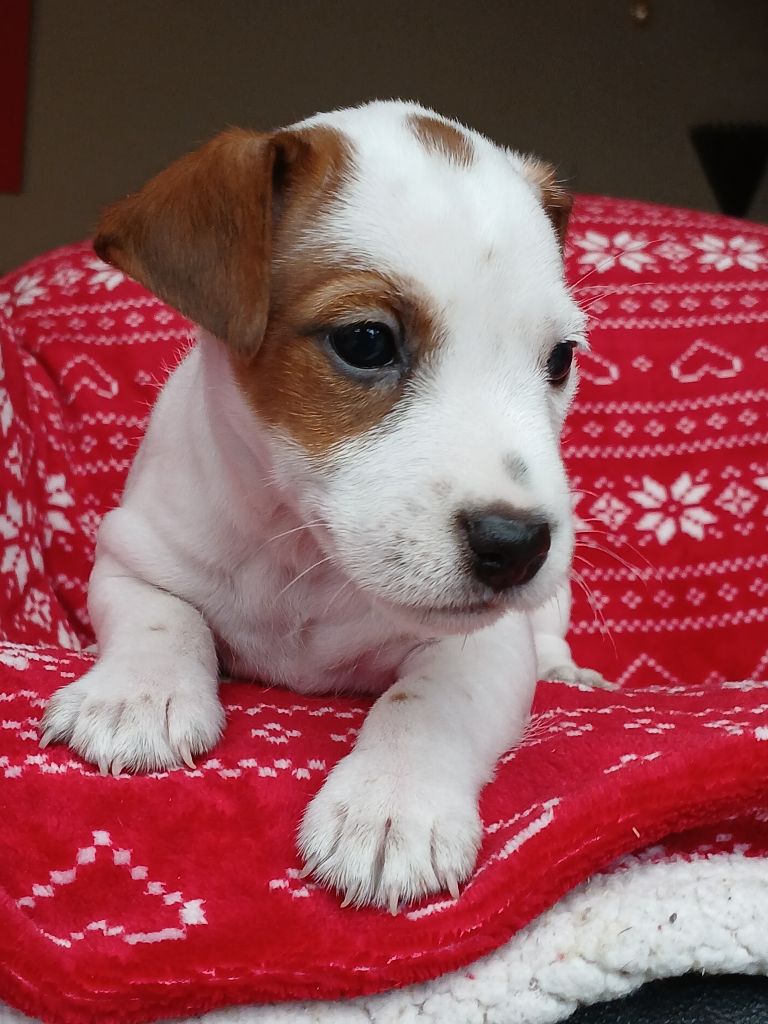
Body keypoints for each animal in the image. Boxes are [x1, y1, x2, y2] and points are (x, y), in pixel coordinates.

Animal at [40, 100, 606, 912]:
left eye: (559, 359)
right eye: (365, 341)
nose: (517, 545)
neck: (300, 550)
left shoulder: (486, 643)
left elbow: (427, 701)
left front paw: (393, 802)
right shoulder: (133, 551)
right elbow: (162, 619)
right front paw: (136, 695)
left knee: (549, 633)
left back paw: (567, 671)